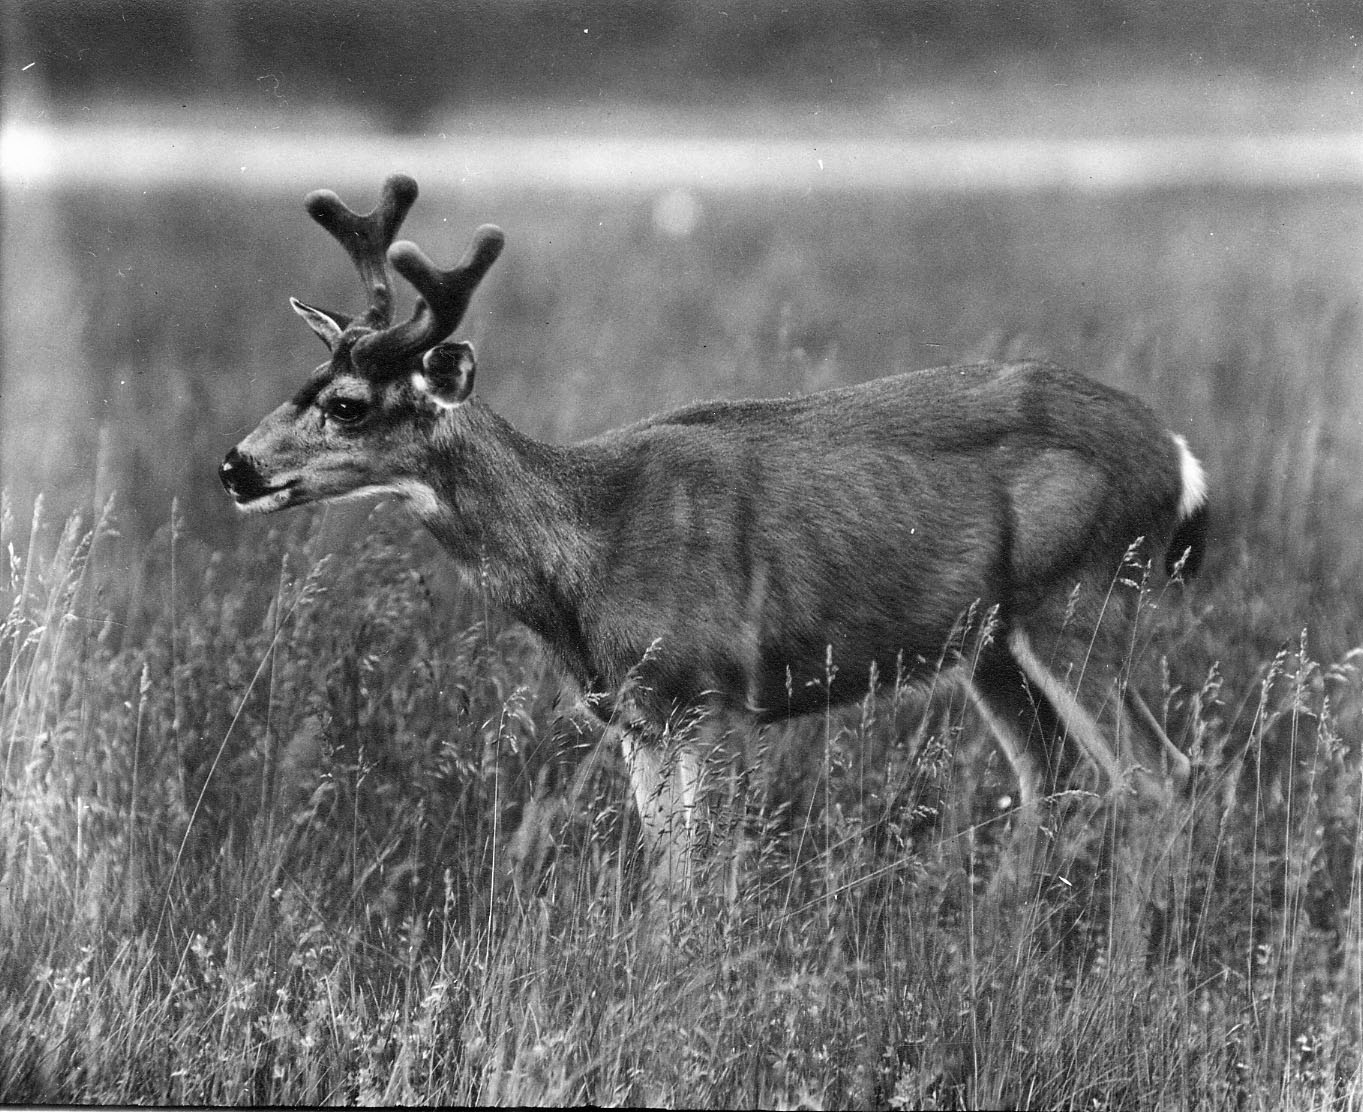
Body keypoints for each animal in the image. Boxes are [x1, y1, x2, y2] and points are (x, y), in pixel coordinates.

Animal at [221, 173, 1209, 903]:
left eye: (348, 404)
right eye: (303, 380)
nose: (234, 466)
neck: (589, 547)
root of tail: (1177, 454)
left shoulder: (715, 693)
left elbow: (704, 870)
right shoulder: (637, 714)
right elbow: (664, 866)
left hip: (1081, 598)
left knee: (1157, 775)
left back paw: (1126, 965)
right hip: (994, 641)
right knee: (1052, 772)